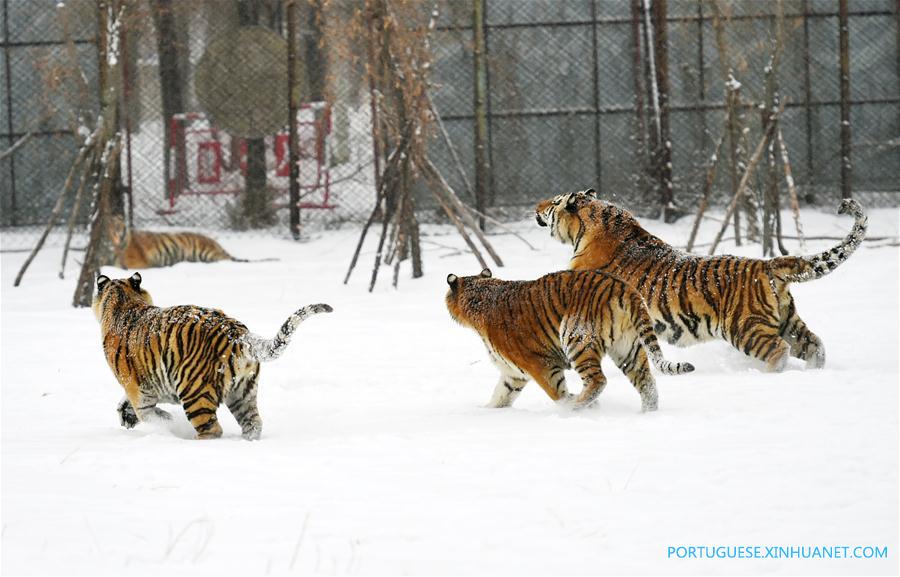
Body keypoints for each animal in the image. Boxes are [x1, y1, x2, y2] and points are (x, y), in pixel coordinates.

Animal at [92, 272, 332, 440]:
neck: (124, 301)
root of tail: (238, 333)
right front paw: (125, 414)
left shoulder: (141, 392)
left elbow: (153, 415)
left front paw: (166, 423)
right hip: (243, 393)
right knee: (253, 423)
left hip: (194, 392)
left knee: (212, 429)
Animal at [104, 215, 275, 269]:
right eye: (110, 228)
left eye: (117, 227)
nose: (118, 235)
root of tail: (216, 244)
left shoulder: (138, 263)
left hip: (206, 252)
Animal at [445, 268, 694, 412]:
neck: (481, 298)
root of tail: (624, 287)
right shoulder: (513, 373)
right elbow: (500, 395)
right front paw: (485, 411)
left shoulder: (540, 364)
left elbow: (558, 393)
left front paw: (568, 406)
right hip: (629, 348)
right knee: (647, 383)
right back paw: (646, 415)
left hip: (576, 339)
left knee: (597, 381)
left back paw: (576, 407)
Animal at [535, 189, 868, 372]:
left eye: (553, 202)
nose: (536, 208)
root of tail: (767, 264)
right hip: (788, 322)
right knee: (815, 345)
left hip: (745, 328)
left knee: (778, 351)